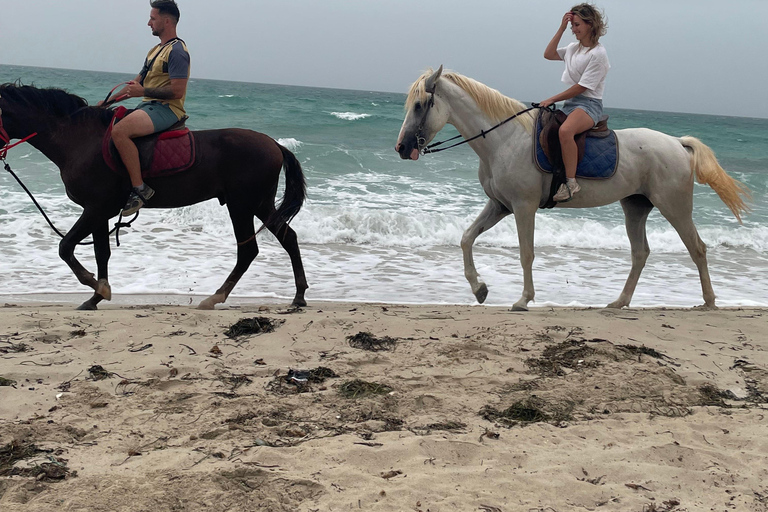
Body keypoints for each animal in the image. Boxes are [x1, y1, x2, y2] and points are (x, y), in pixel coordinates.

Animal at [0, 83, 308, 311]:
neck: (80, 141)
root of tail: (275, 144)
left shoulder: (96, 208)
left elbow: (65, 247)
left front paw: (92, 283)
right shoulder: (99, 211)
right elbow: (102, 253)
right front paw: (97, 295)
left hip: (242, 205)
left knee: (248, 250)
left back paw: (216, 297)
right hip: (259, 204)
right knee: (288, 238)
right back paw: (299, 296)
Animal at [395, 66, 750, 310]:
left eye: (420, 105)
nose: (401, 148)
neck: (503, 139)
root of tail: (677, 143)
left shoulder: (523, 207)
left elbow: (526, 253)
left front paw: (523, 299)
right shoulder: (500, 205)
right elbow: (467, 238)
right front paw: (479, 289)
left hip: (674, 207)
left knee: (697, 248)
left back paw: (709, 301)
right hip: (635, 207)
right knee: (640, 253)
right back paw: (620, 302)